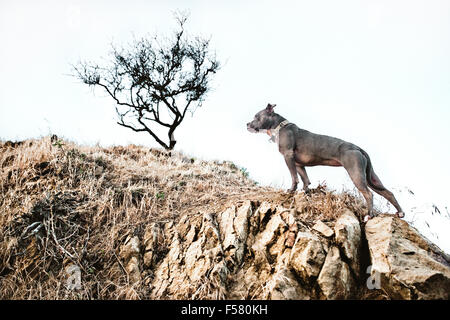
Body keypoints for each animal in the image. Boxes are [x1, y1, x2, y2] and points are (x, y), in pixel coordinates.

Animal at [246, 104, 404, 221]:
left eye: (256, 116)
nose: (247, 123)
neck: (279, 127)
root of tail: (358, 148)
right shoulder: (299, 164)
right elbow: (305, 179)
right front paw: (306, 192)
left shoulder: (288, 157)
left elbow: (294, 178)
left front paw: (291, 190)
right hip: (371, 178)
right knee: (388, 193)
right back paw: (400, 213)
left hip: (356, 174)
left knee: (368, 194)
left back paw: (369, 215)